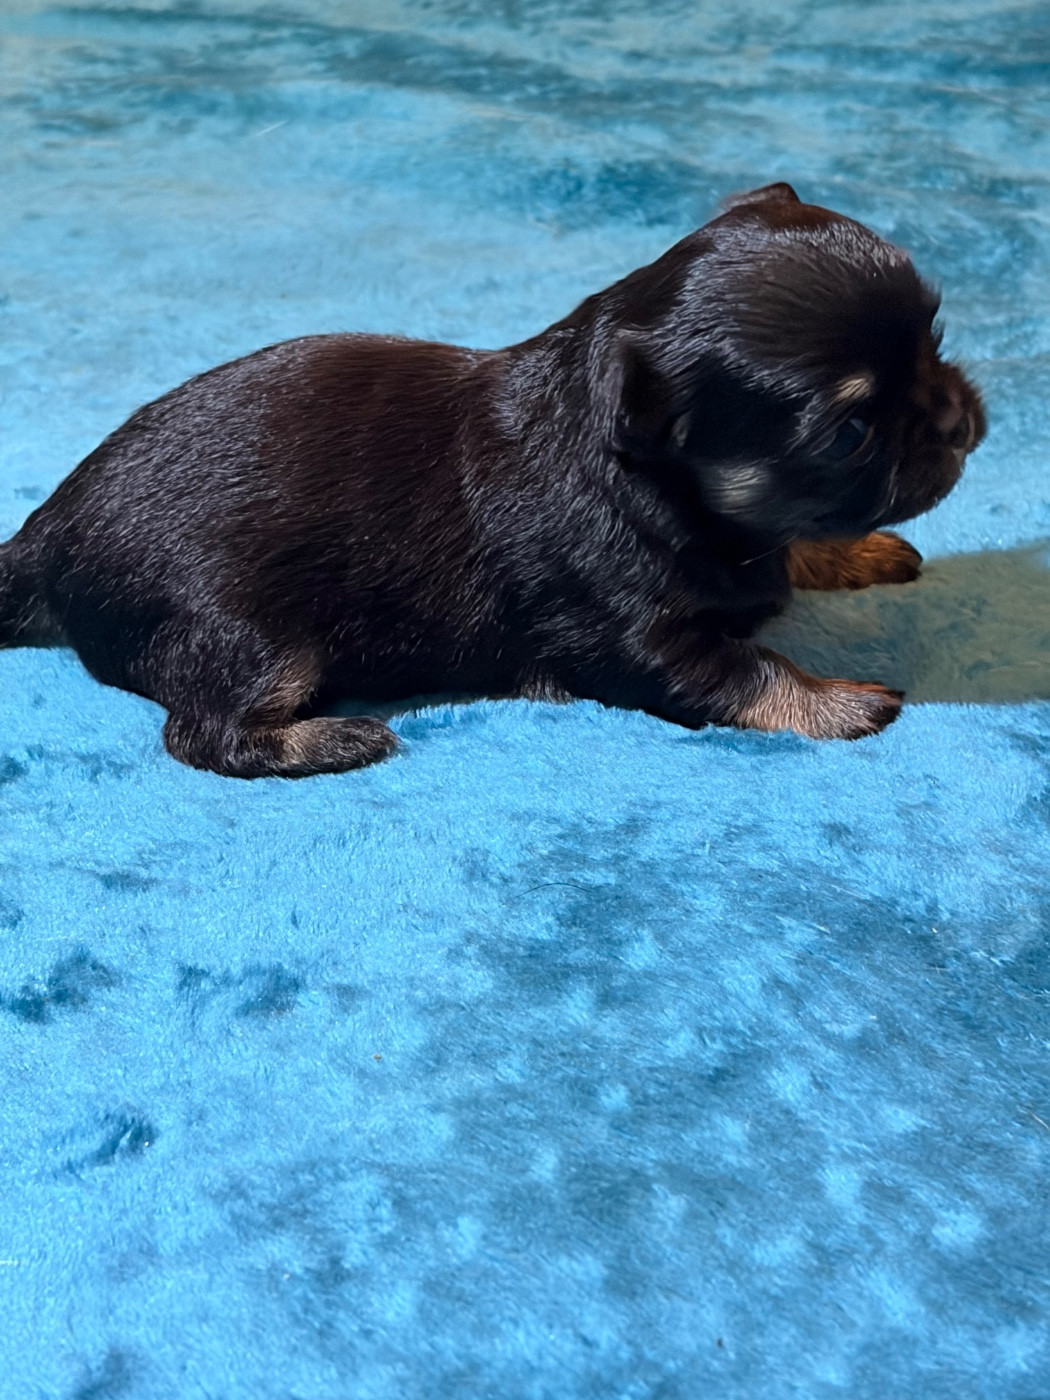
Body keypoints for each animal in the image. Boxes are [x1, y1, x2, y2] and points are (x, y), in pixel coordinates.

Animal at [0, 182, 984, 778]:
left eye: (934, 339)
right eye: (851, 431)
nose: (960, 420)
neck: (657, 480)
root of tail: (47, 534)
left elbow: (791, 551)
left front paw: (854, 552)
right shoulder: (639, 643)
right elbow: (751, 667)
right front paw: (839, 702)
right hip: (255, 639)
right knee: (201, 733)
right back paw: (336, 736)